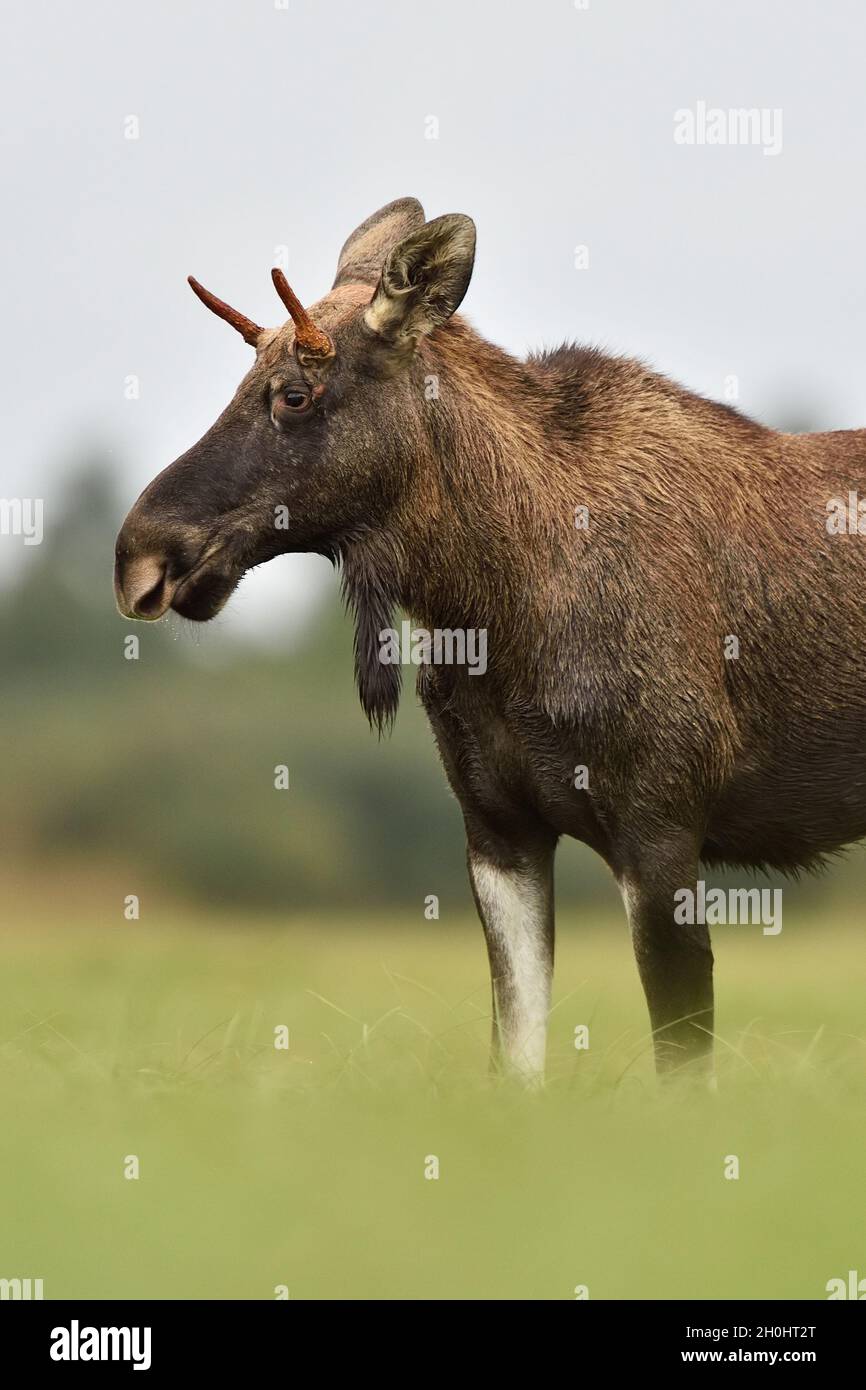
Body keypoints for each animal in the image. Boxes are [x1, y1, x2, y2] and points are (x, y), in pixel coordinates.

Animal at [115, 195, 866, 1084]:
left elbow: (681, 1061)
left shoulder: (661, 824)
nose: (140, 554)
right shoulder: (497, 829)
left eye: (293, 393)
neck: (489, 605)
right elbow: (517, 1058)